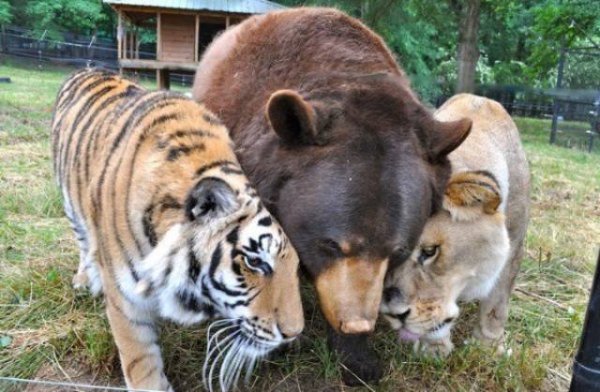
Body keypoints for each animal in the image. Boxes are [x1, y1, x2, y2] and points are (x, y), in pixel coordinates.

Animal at [51, 69, 304, 390]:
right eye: (255, 261)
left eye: (295, 267)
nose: (294, 334)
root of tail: (87, 69)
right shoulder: (125, 301)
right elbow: (140, 360)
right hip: (70, 205)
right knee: (84, 242)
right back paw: (85, 279)